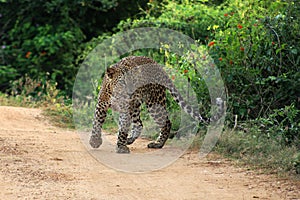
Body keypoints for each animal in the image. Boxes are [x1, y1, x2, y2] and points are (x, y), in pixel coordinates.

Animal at [88, 56, 224, 153]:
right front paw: (95, 141)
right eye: (122, 81)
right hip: (136, 106)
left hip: (154, 102)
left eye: (133, 80)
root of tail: (159, 66)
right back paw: (130, 140)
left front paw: (120, 146)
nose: (131, 90)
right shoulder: (101, 105)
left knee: (167, 123)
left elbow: (122, 128)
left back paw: (157, 144)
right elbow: (97, 123)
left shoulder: (125, 110)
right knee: (139, 124)